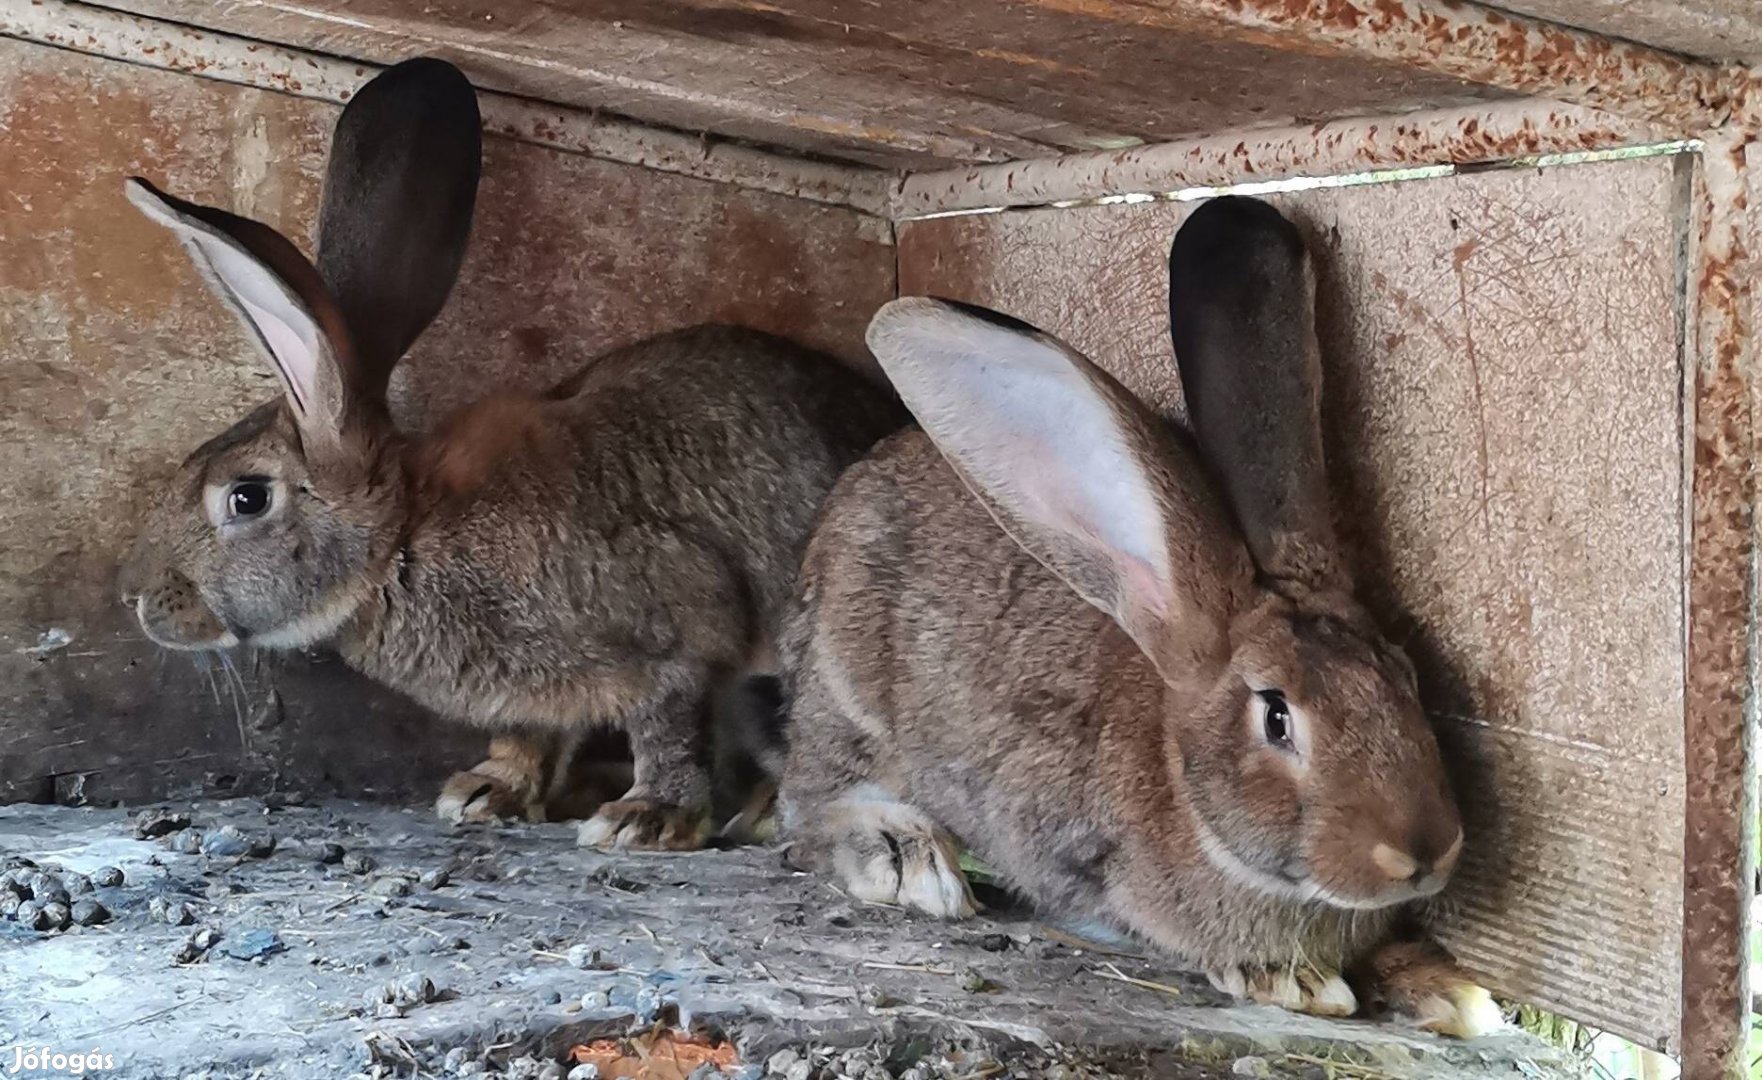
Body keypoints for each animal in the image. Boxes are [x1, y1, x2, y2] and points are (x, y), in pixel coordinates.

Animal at [115, 56, 902, 849]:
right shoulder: (533, 697)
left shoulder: (676, 631)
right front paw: (486, 793)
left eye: (247, 497)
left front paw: (646, 818)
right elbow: (529, 734)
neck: (406, 540)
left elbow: (668, 728)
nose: (137, 597)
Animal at [782, 198, 1501, 1028]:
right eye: (1276, 717)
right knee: (809, 803)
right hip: (849, 697)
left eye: (1407, 678)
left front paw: (1453, 993)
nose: (1422, 852)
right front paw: (1291, 980)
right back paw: (907, 859)